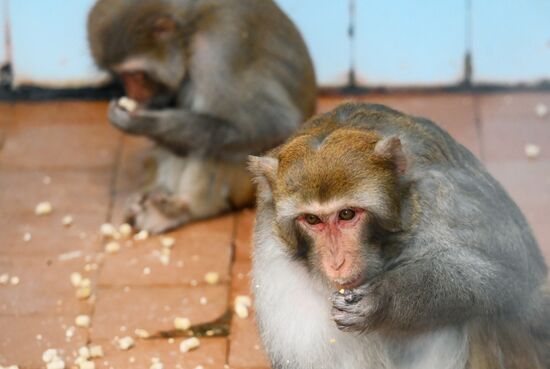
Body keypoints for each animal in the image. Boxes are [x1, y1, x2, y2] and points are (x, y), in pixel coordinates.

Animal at [88, 0, 316, 231]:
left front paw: (142, 122)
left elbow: (274, 125)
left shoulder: (219, 50)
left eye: (136, 74)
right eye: (120, 75)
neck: (190, 29)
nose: (134, 94)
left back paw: (179, 209)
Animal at [250, 101, 550, 368]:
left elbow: (512, 277)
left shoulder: (445, 198)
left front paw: (383, 298)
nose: (337, 262)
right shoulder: (274, 262)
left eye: (347, 214)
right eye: (312, 219)